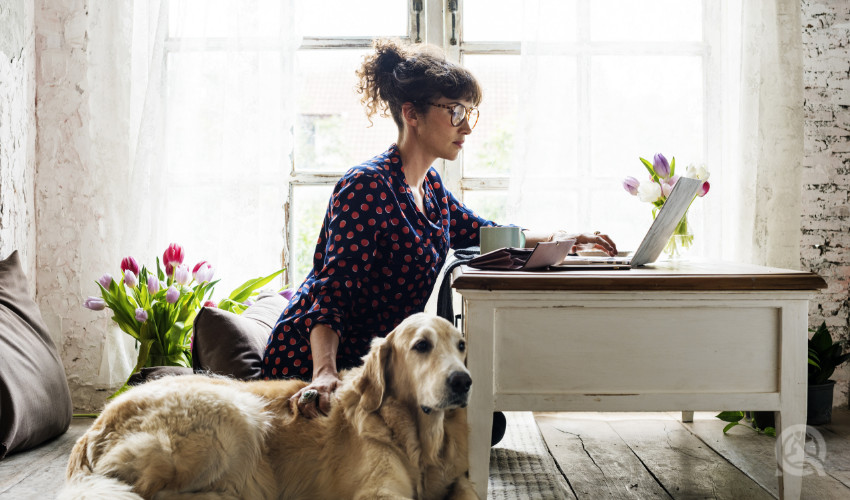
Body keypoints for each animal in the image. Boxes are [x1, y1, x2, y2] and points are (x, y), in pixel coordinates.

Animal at [58, 314, 476, 498]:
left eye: (461, 346)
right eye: (421, 346)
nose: (463, 382)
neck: (420, 440)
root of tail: (93, 429)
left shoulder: (458, 480)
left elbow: (468, 490)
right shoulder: (378, 491)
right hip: (234, 414)